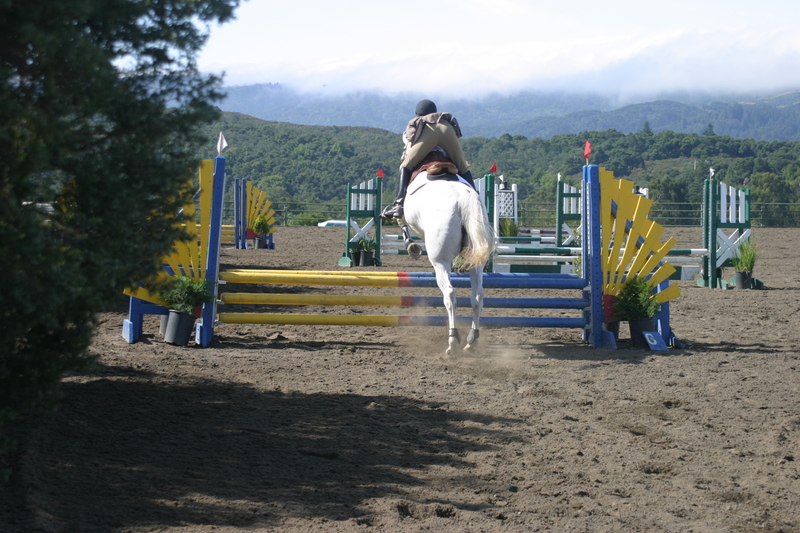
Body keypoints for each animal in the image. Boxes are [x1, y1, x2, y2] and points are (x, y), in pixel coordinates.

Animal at [399, 168, 496, 357]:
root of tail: (464, 198)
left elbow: (402, 222)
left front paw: (411, 245)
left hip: (440, 261)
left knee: (450, 295)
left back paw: (452, 341)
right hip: (476, 261)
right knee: (477, 296)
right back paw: (472, 341)